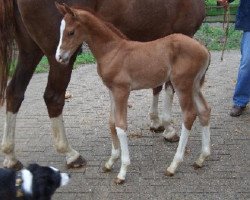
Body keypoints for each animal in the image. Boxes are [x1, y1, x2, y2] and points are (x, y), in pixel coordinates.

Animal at [0, 0, 205, 170]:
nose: (60, 55)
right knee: (53, 97)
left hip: (30, 49)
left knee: (14, 92)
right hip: (55, 55)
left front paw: (156, 122)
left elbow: (156, 85)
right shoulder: (182, 32)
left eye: (70, 31)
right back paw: (70, 154)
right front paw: (168, 128)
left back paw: (10, 156)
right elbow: (167, 87)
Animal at [54, 3, 211, 184]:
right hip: (195, 85)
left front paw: (122, 171)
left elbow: (121, 125)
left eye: (71, 32)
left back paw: (173, 165)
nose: (59, 57)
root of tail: (204, 49)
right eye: (61, 30)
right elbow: (111, 122)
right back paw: (201, 158)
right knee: (204, 110)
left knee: (189, 115)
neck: (112, 51)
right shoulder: (112, 90)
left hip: (182, 85)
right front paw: (111, 161)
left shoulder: (122, 91)